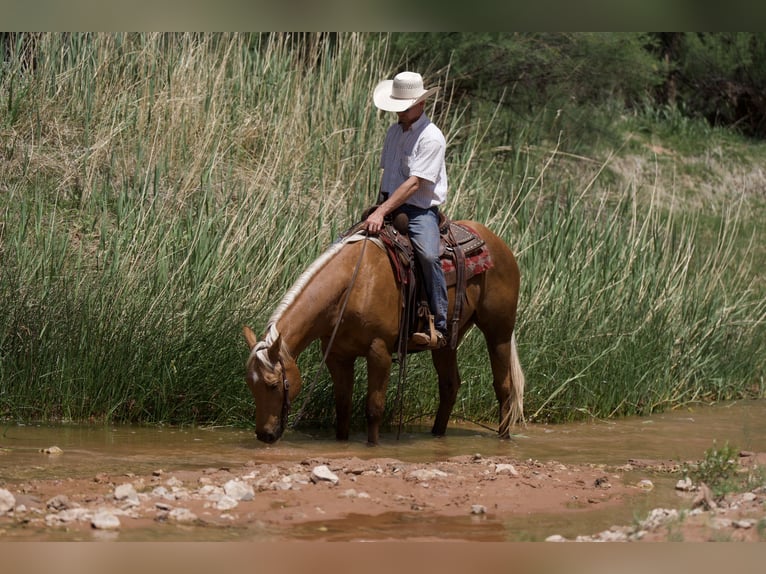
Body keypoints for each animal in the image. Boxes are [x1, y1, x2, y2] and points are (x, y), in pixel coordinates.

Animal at [243, 220, 524, 446]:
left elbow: (374, 408)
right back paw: (437, 435)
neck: (353, 286)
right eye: (250, 384)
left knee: (504, 386)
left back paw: (504, 437)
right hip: (447, 343)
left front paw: (373, 446)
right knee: (449, 385)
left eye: (272, 384)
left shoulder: (379, 352)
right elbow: (343, 407)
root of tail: (497, 242)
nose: (264, 435)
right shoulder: (337, 356)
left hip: (498, 331)